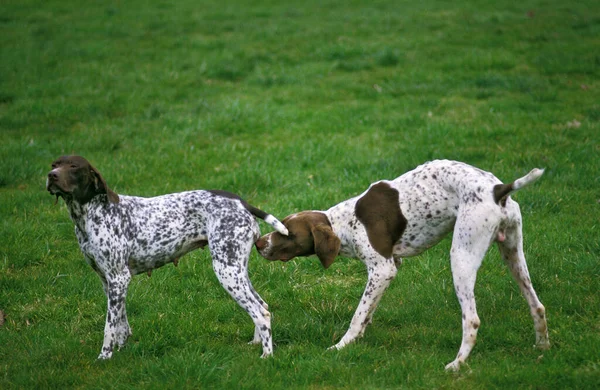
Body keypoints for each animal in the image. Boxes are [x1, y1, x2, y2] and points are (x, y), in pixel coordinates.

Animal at [46, 155, 288, 360]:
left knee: (260, 313)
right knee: (262, 306)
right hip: (236, 270)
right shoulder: (109, 281)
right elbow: (121, 323)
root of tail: (241, 202)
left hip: (227, 272)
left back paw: (267, 356)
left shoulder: (118, 278)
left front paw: (105, 357)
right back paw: (256, 343)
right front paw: (122, 348)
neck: (91, 215)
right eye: (54, 164)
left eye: (74, 166)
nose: (51, 175)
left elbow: (108, 327)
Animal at [255, 160, 552, 370]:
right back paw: (542, 348)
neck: (345, 223)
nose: (258, 243)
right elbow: (368, 311)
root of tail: (497, 189)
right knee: (537, 305)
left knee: (472, 320)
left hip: (462, 257)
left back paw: (457, 365)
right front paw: (359, 338)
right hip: (513, 254)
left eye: (287, 233)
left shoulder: (382, 269)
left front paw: (342, 345)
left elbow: (358, 314)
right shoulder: (390, 268)